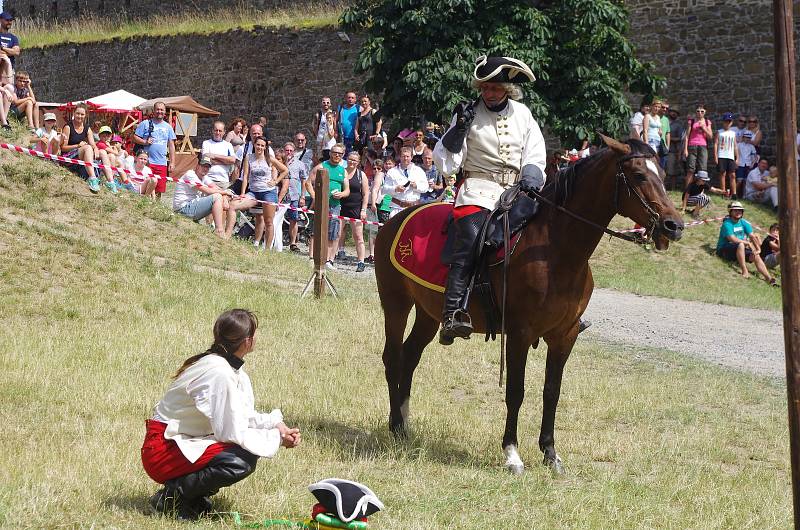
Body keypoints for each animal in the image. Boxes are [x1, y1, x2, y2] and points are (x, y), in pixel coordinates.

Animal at [374, 134, 680, 472]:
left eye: (662, 175)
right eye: (639, 175)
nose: (673, 225)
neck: (556, 249)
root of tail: (395, 220)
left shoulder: (565, 336)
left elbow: (551, 392)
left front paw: (550, 453)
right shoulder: (520, 334)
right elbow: (516, 392)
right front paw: (512, 453)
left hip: (428, 314)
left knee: (410, 356)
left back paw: (403, 425)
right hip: (396, 303)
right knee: (393, 357)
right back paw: (394, 424)